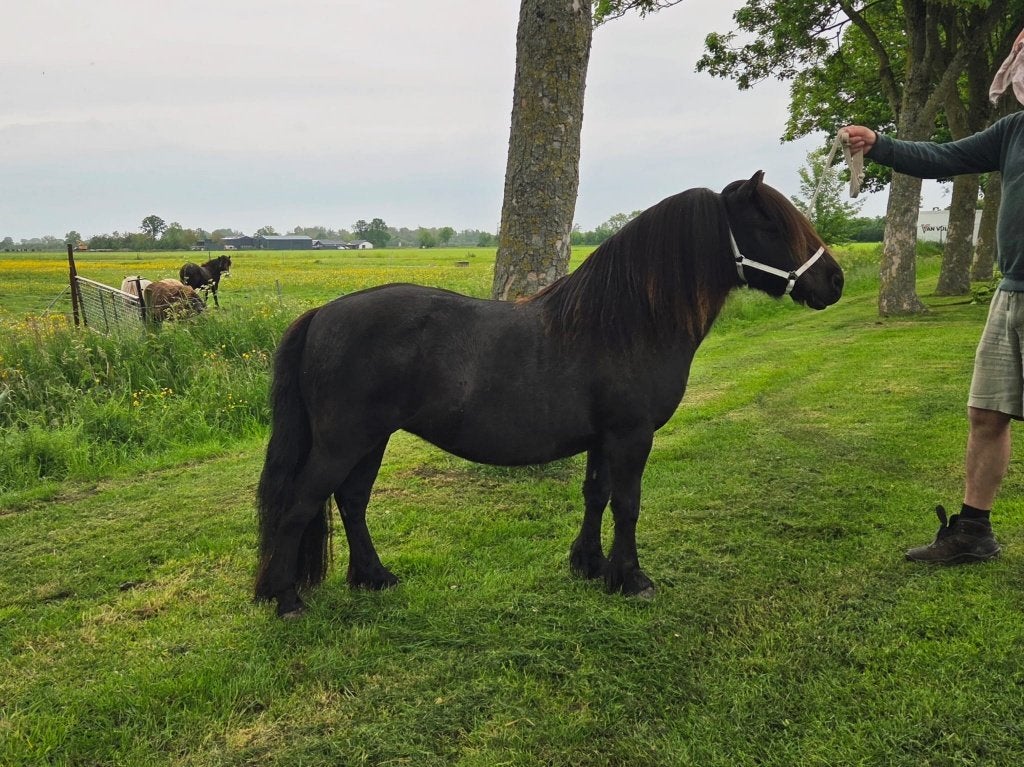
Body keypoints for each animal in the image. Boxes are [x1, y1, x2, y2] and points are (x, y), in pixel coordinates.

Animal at [254, 171, 845, 618]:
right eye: (770, 223)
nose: (835, 282)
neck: (628, 323)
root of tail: (321, 314)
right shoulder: (631, 435)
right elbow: (628, 503)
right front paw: (631, 578)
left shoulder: (604, 438)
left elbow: (597, 494)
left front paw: (589, 566)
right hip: (343, 441)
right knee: (300, 504)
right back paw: (287, 600)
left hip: (370, 439)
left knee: (351, 500)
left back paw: (374, 577)